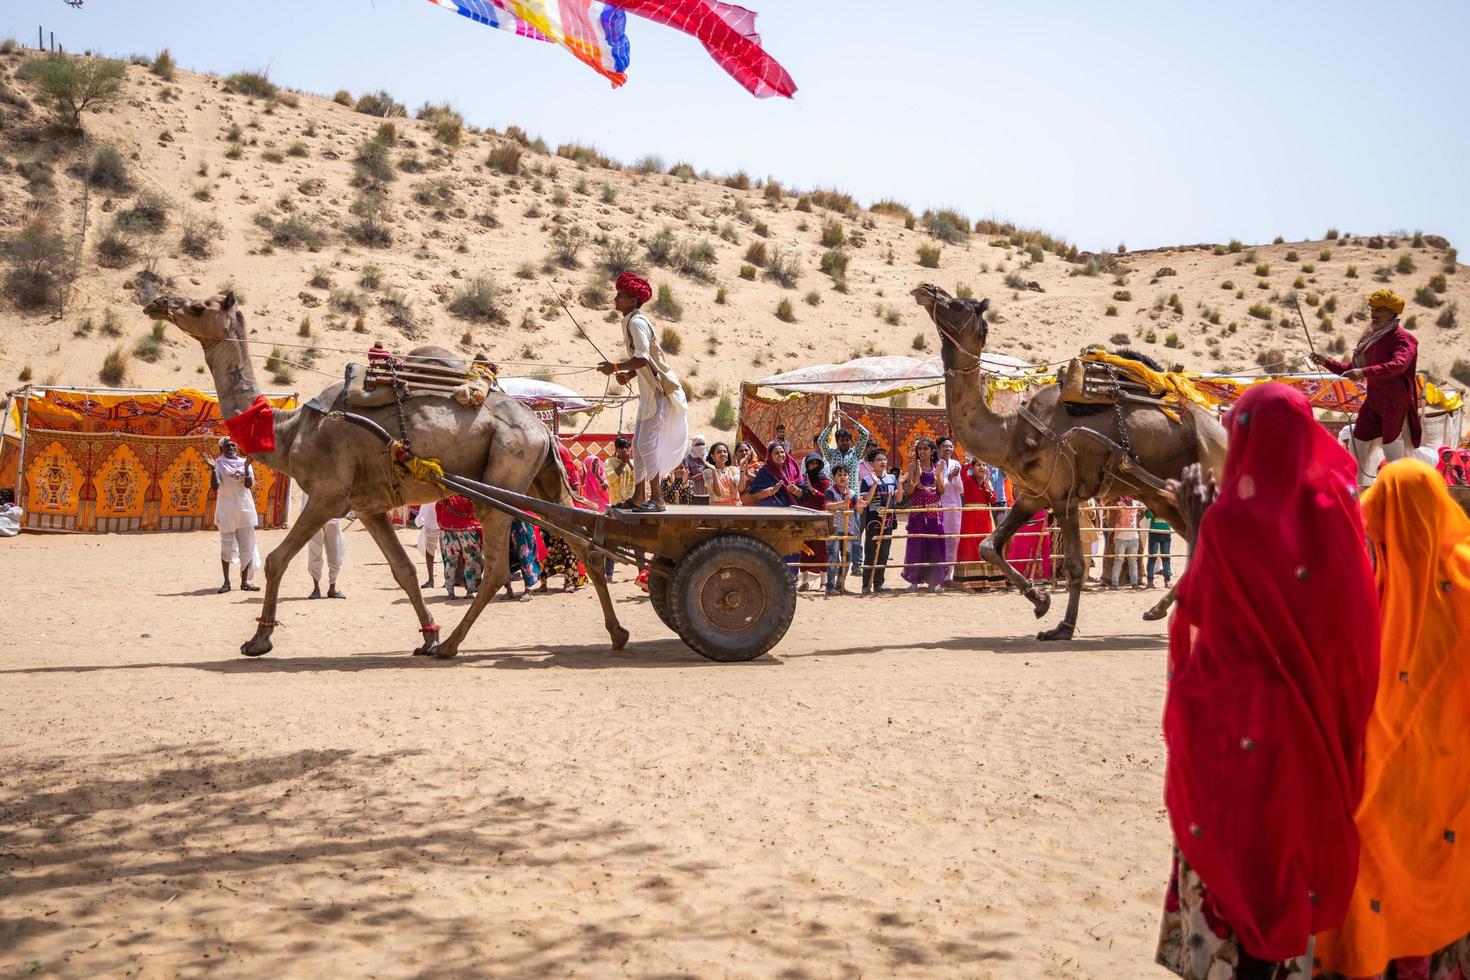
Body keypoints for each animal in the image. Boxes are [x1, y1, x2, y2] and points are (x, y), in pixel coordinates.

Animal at [143, 290, 632, 658]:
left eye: (199, 307)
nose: (159, 301)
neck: (288, 430)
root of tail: (542, 428)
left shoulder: (328, 495)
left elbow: (278, 559)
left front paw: (258, 640)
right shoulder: (370, 506)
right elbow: (404, 571)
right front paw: (427, 635)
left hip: (503, 478)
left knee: (496, 569)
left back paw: (453, 646)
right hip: (539, 478)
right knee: (585, 544)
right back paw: (617, 634)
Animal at [911, 279, 1223, 640]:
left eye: (959, 305)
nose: (926, 287)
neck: (1011, 432)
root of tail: (1219, 427)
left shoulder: (1064, 494)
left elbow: (1076, 566)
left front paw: (1062, 626)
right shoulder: (1032, 496)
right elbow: (989, 546)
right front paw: (1041, 602)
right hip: (1160, 496)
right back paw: (1158, 611)